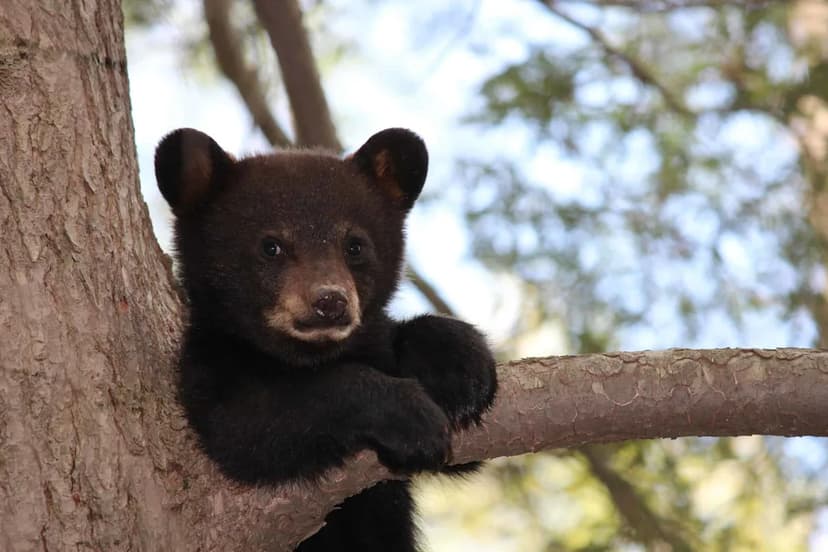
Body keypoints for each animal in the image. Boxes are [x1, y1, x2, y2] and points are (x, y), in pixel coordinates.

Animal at [154, 127, 498, 551]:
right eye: (271, 246)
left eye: (355, 245)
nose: (330, 301)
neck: (310, 354)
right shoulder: (210, 364)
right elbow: (248, 424)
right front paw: (409, 414)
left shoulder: (373, 344)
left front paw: (459, 367)